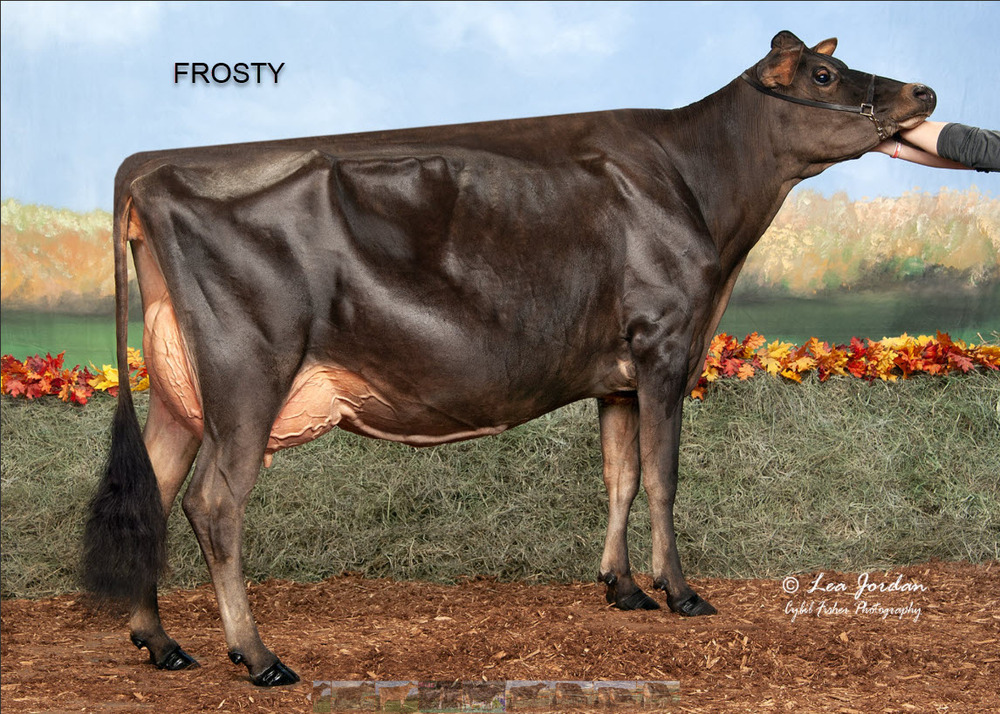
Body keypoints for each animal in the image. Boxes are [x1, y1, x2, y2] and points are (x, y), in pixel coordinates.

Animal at [81, 31, 936, 686]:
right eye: (825, 75)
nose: (923, 91)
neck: (700, 190)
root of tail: (150, 168)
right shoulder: (665, 347)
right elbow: (663, 477)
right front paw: (681, 593)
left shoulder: (616, 377)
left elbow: (620, 475)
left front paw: (622, 587)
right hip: (248, 372)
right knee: (212, 504)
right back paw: (258, 657)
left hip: (182, 390)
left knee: (154, 491)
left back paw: (160, 642)